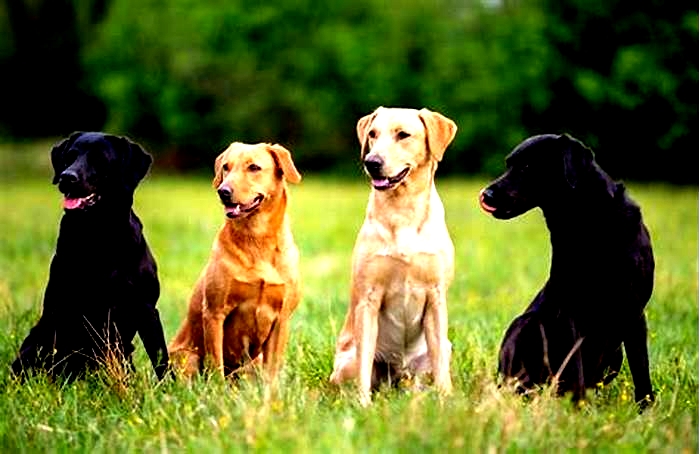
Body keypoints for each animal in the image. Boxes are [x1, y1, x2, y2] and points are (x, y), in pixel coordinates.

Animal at [13, 133, 169, 382]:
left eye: (100, 159)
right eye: (70, 156)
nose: (67, 177)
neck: (98, 234)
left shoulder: (146, 308)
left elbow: (161, 358)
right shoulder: (61, 306)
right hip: (36, 337)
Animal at [170, 142, 304, 384]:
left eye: (254, 167)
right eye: (226, 167)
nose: (223, 192)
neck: (257, 239)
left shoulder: (281, 318)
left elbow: (272, 370)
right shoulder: (214, 312)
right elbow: (216, 363)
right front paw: (217, 391)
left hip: (253, 362)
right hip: (186, 358)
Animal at [330, 107, 456, 408]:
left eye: (403, 135)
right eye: (373, 135)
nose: (372, 162)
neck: (403, 210)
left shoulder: (436, 297)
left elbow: (441, 368)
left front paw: (446, 402)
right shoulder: (368, 299)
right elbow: (364, 368)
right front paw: (363, 406)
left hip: (441, 349)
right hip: (347, 360)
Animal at [478, 134, 652, 408]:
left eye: (527, 167)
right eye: (508, 165)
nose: (486, 194)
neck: (587, 221)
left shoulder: (633, 308)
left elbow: (642, 369)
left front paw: (646, 410)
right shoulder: (569, 309)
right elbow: (573, 366)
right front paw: (577, 409)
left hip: (615, 354)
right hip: (524, 323)